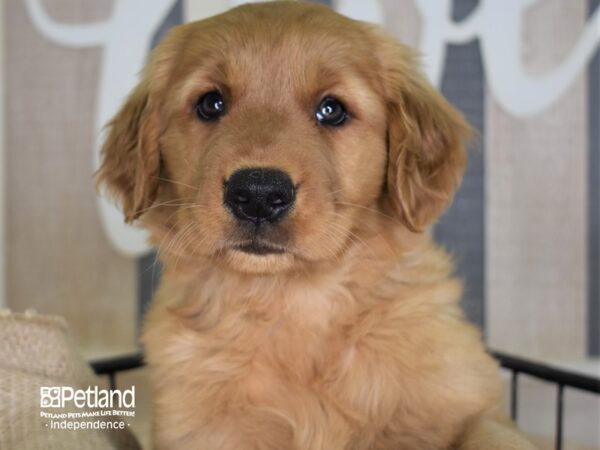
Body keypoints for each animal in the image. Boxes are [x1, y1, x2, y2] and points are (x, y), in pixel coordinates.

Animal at [97, 1, 536, 448]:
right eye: (211, 104)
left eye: (332, 109)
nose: (258, 193)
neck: (293, 300)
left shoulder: (472, 402)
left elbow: (491, 433)